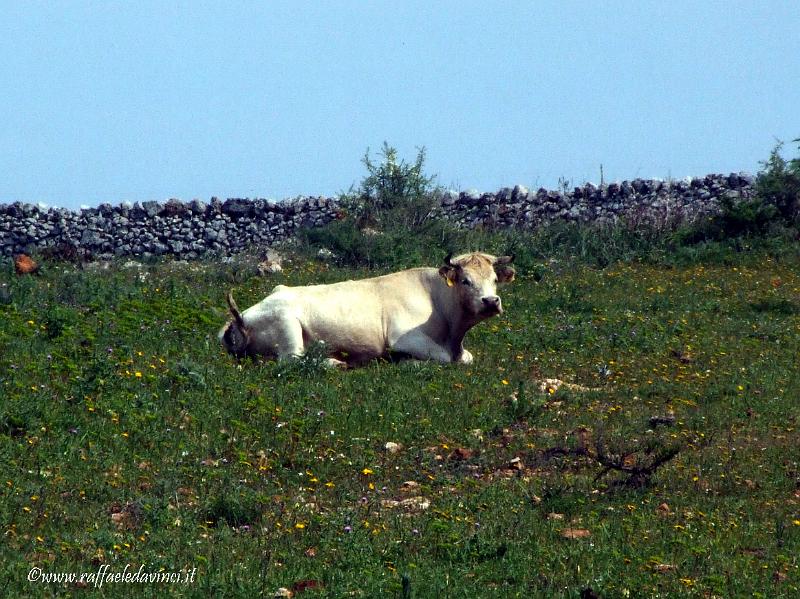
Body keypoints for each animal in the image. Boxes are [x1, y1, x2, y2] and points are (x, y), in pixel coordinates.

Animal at [219, 252, 516, 366]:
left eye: (494, 279)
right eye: (466, 281)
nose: (491, 301)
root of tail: (240, 319)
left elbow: (467, 358)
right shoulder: (403, 338)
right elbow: (441, 358)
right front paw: (404, 362)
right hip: (287, 325)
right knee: (292, 360)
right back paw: (335, 362)